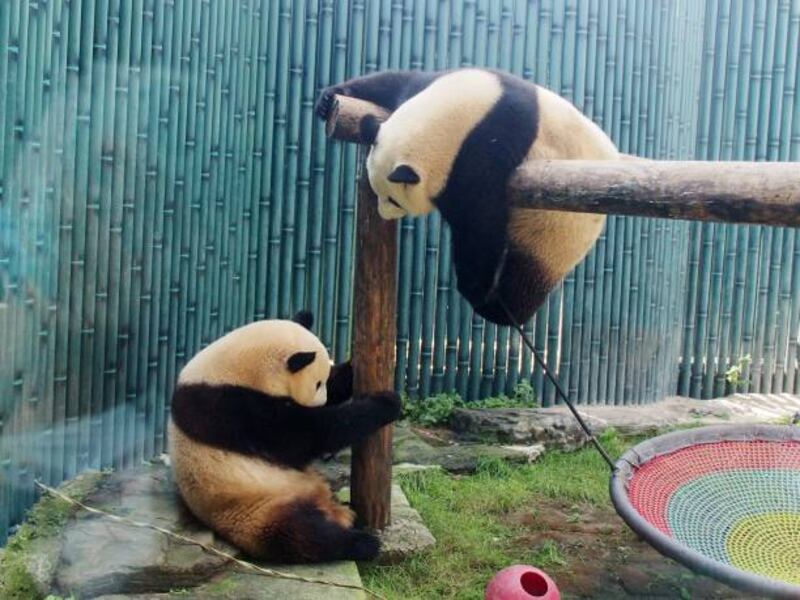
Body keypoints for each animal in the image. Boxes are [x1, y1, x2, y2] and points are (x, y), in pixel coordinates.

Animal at [169, 310, 400, 564]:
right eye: (316, 383)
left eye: (324, 380)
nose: (320, 403)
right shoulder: (231, 409)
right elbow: (308, 434)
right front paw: (387, 403)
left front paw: (355, 367)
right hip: (256, 509)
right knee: (301, 534)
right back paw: (361, 543)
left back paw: (349, 514)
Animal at [314, 70, 620, 328]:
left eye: (393, 200)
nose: (384, 214)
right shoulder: (431, 87)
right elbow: (394, 82)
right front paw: (328, 99)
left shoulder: (483, 153)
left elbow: (479, 224)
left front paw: (473, 286)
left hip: (557, 229)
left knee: (524, 278)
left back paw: (498, 308)